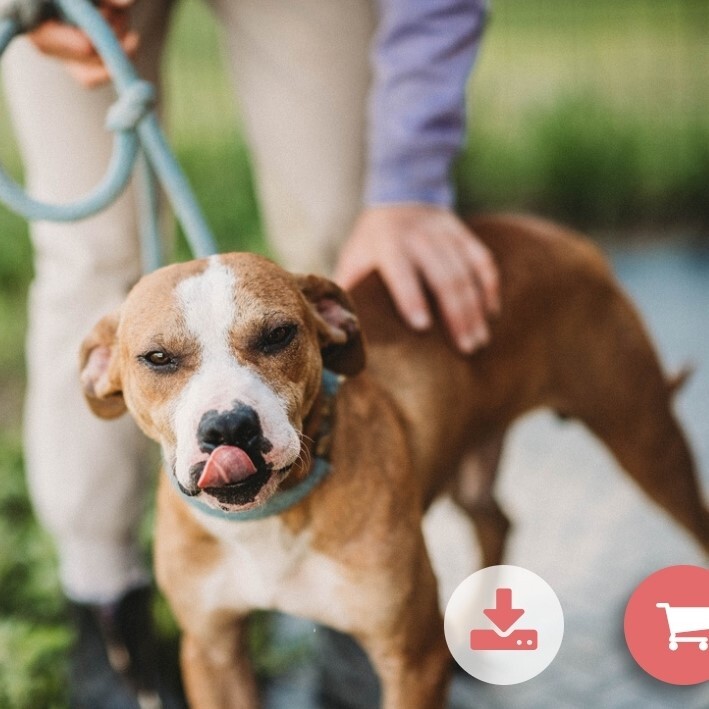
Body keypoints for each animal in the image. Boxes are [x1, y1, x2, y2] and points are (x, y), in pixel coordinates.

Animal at [79, 213, 708, 704]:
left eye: (278, 334)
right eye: (158, 358)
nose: (230, 425)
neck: (275, 517)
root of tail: (560, 235)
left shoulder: (410, 662)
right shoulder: (213, 653)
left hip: (645, 437)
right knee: (496, 519)